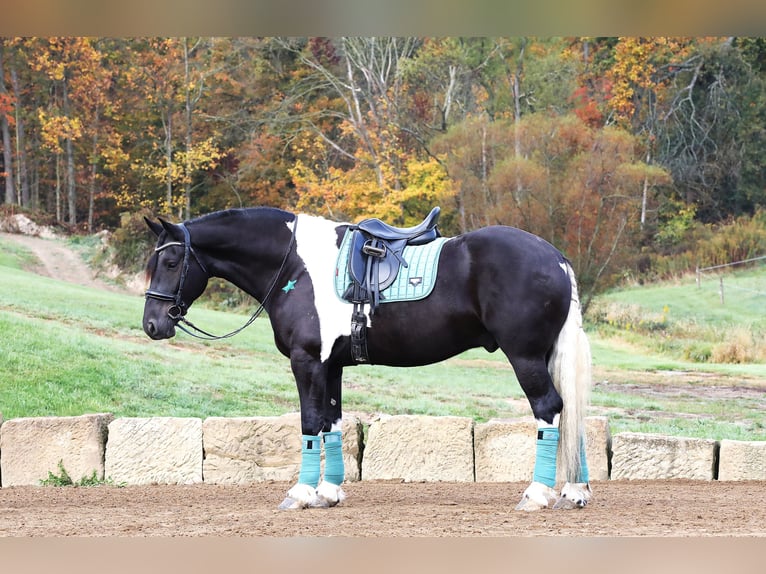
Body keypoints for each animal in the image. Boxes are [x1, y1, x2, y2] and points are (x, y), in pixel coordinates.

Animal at [142, 208, 592, 512]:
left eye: (171, 262)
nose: (152, 324)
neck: (294, 266)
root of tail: (555, 258)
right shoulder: (332, 366)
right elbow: (331, 424)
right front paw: (327, 493)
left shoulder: (307, 361)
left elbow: (309, 424)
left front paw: (300, 494)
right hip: (545, 357)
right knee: (572, 414)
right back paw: (575, 492)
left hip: (525, 357)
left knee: (549, 410)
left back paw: (537, 494)